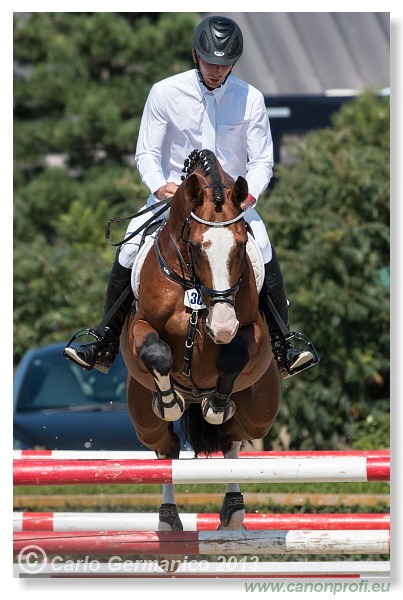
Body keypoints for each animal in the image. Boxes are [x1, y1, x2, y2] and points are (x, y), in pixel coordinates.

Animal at [120, 149, 280, 540]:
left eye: (241, 245)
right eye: (194, 246)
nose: (222, 326)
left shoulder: (252, 331)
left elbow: (233, 357)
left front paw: (217, 404)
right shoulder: (140, 327)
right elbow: (157, 353)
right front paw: (169, 401)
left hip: (259, 411)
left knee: (232, 439)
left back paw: (233, 508)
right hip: (142, 416)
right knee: (166, 448)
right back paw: (168, 517)